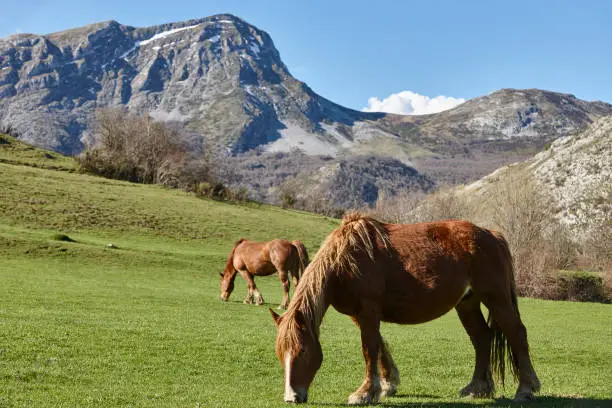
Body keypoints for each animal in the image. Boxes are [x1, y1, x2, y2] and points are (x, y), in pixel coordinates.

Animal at [272, 212, 540, 404]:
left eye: (302, 351)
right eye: (281, 354)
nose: (292, 397)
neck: (345, 261)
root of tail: (492, 235)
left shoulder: (368, 311)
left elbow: (369, 349)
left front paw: (364, 393)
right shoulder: (360, 315)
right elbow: (379, 345)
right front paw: (387, 384)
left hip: (496, 298)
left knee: (516, 334)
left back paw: (525, 389)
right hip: (467, 303)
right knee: (482, 338)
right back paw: (476, 388)